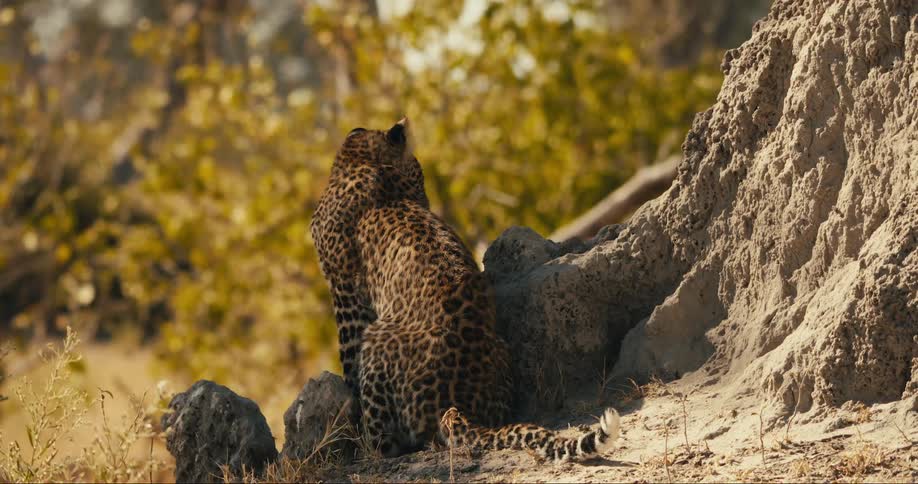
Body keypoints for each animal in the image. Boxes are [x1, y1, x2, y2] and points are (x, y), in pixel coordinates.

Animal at [310, 118, 620, 462]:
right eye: (419, 177)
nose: (427, 200)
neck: (365, 162)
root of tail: (455, 406)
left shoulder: (344, 293)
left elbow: (348, 360)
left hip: (376, 338)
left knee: (387, 445)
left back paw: (362, 447)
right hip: (500, 351)